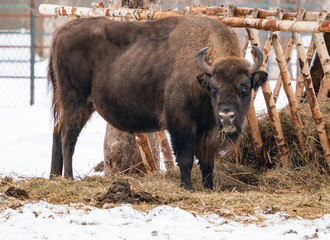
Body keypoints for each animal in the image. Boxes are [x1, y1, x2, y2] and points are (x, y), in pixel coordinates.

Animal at [47, 15, 266, 190]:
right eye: (213, 87)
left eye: (245, 86)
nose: (226, 116)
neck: (200, 76)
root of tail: (59, 33)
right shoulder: (181, 124)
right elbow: (185, 158)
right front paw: (187, 188)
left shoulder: (208, 130)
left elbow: (207, 163)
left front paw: (209, 188)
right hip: (76, 102)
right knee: (68, 136)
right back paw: (68, 177)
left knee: (57, 131)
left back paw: (54, 176)